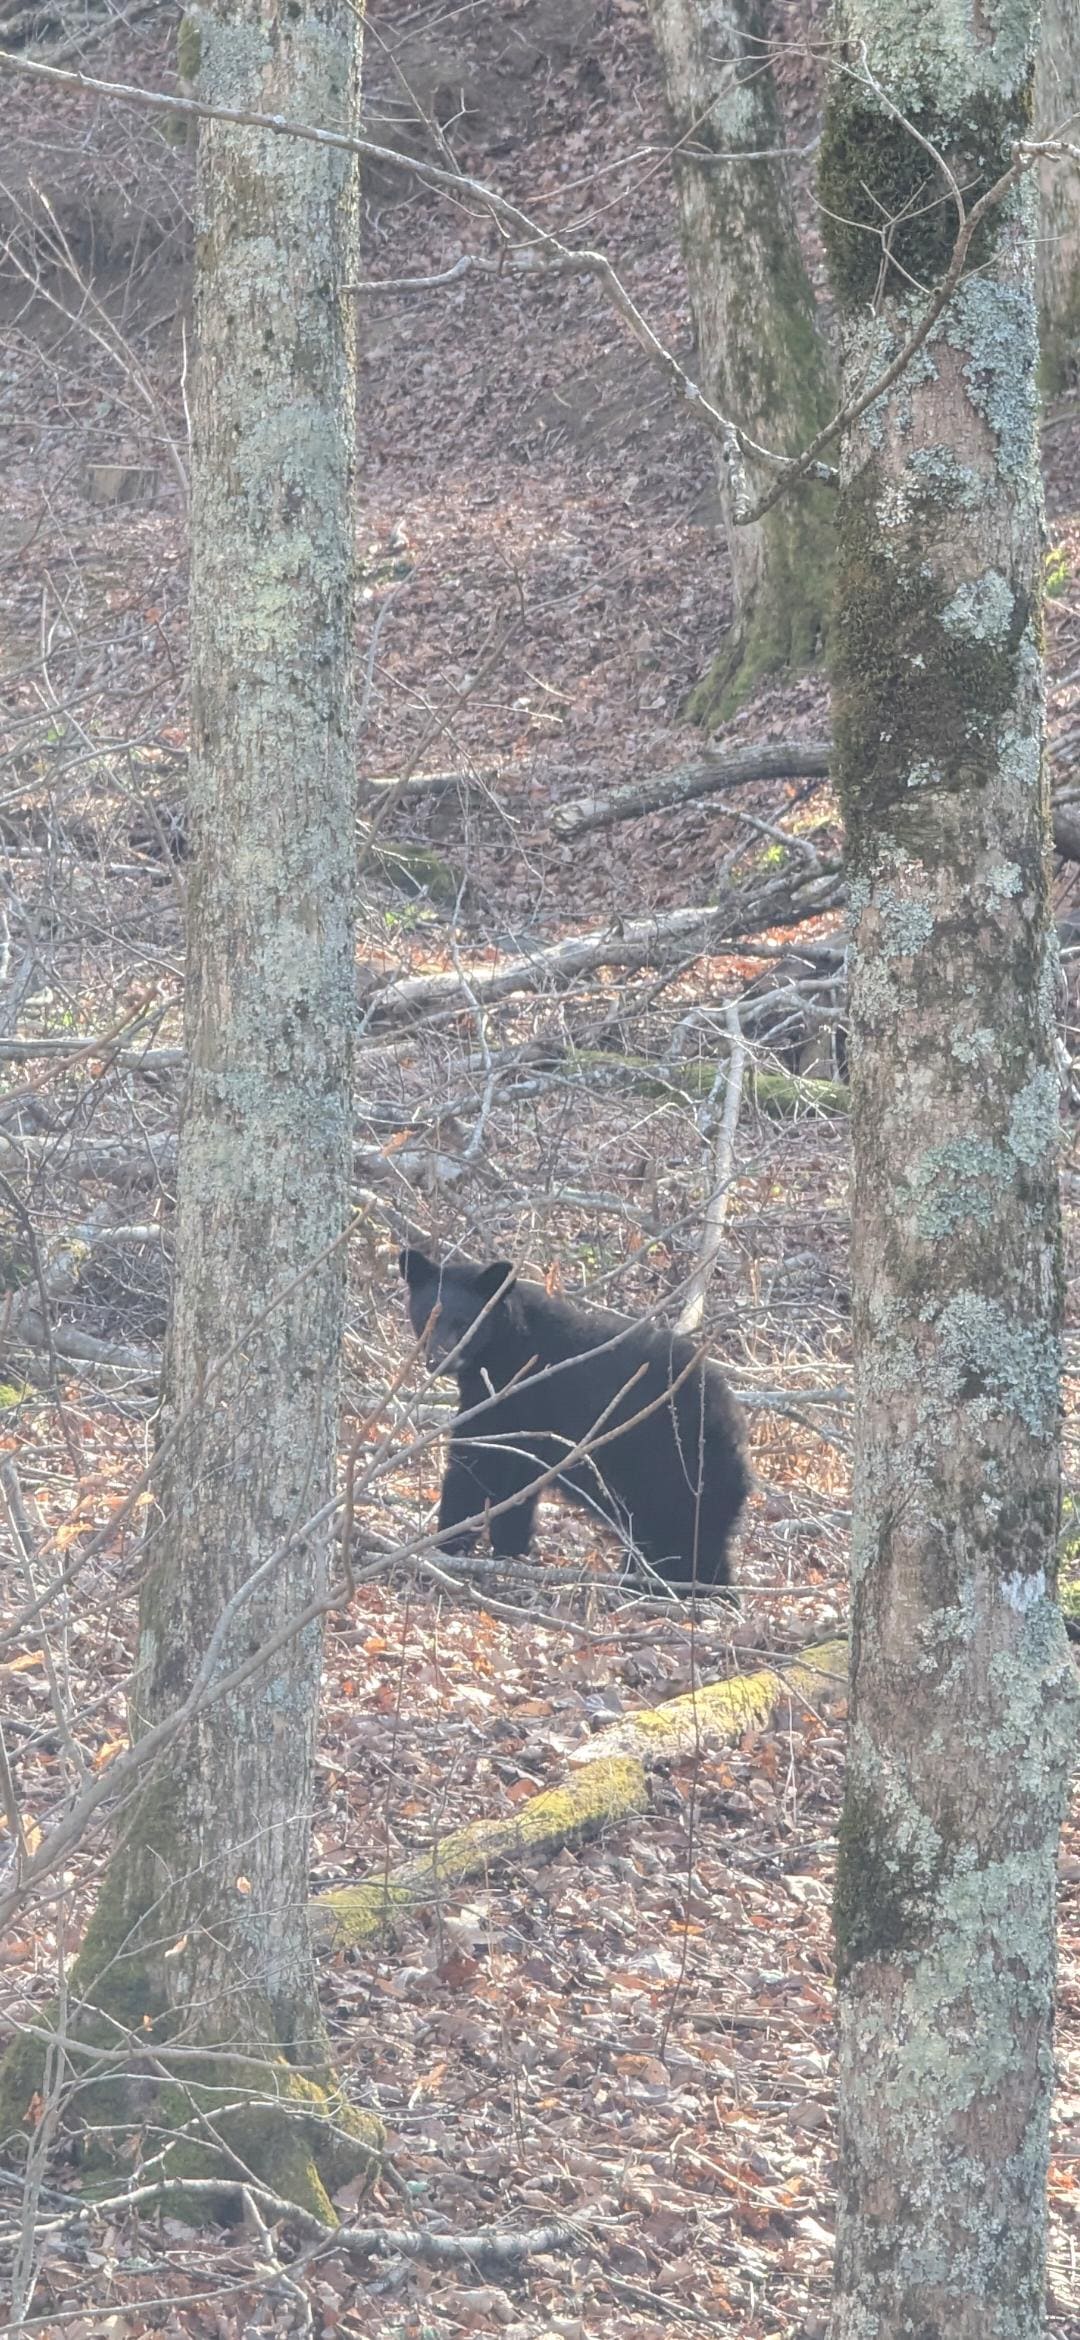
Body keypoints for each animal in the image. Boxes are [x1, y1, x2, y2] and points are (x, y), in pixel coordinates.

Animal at [400, 1247, 748, 1591]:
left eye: (464, 1323)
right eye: (428, 1316)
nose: (438, 1359)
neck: (507, 1345)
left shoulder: (508, 1399)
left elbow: (476, 1465)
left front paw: (445, 1547)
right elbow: (517, 1487)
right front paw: (512, 1552)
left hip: (669, 1472)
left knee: (679, 1538)